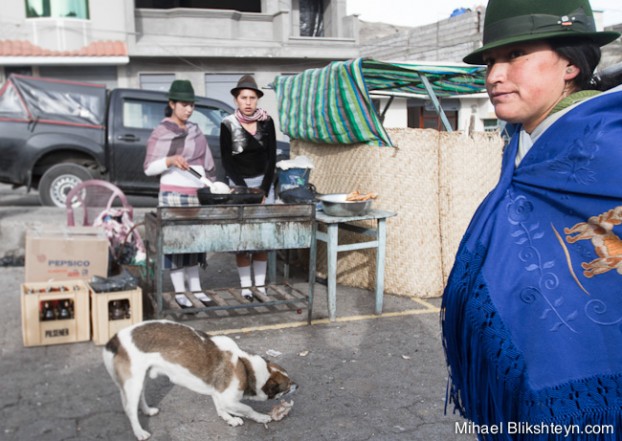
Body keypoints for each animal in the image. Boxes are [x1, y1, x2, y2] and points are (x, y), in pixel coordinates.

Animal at [102, 320, 298, 440]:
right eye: (287, 387)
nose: (297, 385)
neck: (246, 366)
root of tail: (115, 339)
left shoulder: (219, 393)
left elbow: (221, 408)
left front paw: (228, 418)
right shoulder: (229, 397)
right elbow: (247, 408)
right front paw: (260, 417)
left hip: (140, 379)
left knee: (140, 397)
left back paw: (147, 410)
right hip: (133, 383)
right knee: (129, 408)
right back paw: (139, 432)